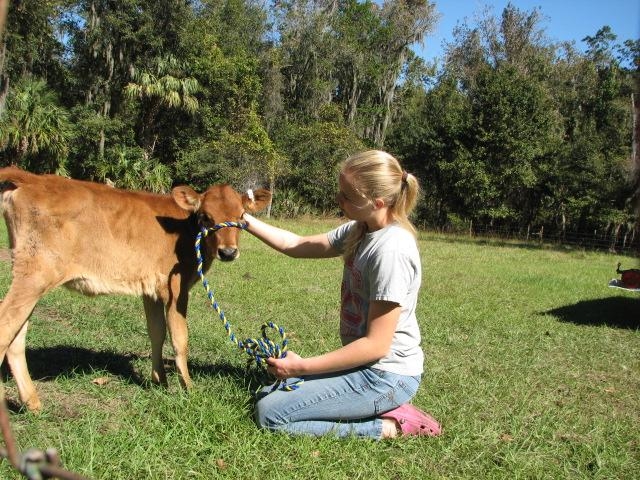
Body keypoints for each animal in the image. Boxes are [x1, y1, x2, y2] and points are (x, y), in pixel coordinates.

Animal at [0, 167, 270, 410]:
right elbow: (180, 338)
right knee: (6, 329)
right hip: (35, 276)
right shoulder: (177, 288)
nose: (228, 252)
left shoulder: (151, 289)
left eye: (242, 216)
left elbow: (157, 332)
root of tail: (31, 178)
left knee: (17, 337)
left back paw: (32, 403)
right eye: (205, 216)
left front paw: (159, 381)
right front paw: (188, 388)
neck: (185, 229)